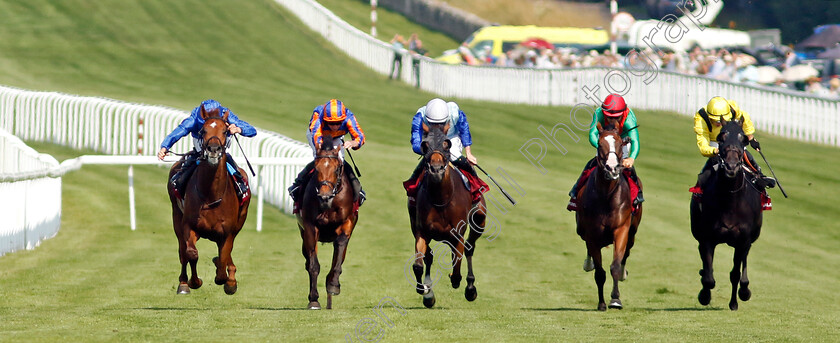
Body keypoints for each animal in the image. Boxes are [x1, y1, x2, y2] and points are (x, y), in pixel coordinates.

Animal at [167, 107, 249, 296]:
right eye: (203, 131)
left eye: (225, 131)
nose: (213, 149)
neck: (211, 194)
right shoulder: (189, 226)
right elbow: (191, 254)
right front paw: (194, 282)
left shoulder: (227, 232)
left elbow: (223, 262)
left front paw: (228, 281)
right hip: (176, 216)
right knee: (182, 251)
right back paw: (183, 283)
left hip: (239, 223)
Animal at [296, 135, 358, 312]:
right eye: (316, 169)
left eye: (337, 169)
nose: (325, 196)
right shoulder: (310, 227)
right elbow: (313, 265)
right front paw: (313, 300)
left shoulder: (347, 223)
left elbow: (340, 249)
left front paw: (333, 284)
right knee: (308, 260)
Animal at [408, 123, 486, 310]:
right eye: (425, 145)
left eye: (446, 144)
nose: (436, 169)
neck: (441, 198)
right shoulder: (421, 231)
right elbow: (418, 265)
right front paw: (424, 290)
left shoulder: (457, 233)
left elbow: (457, 264)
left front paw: (458, 281)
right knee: (429, 257)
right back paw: (429, 295)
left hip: (479, 219)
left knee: (469, 247)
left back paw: (470, 288)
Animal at [576, 123, 640, 312]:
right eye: (599, 144)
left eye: (620, 143)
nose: (612, 168)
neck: (606, 195)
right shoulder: (591, 234)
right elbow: (599, 272)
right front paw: (602, 303)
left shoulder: (621, 229)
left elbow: (615, 266)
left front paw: (615, 299)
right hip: (582, 230)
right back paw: (588, 263)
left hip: (632, 231)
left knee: (627, 251)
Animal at [688, 116, 760, 312]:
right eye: (721, 138)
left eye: (743, 139)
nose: (731, 166)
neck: (730, 202)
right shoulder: (706, 239)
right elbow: (709, 278)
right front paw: (704, 296)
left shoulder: (743, 241)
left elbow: (735, 274)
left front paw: (736, 301)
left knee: (743, 264)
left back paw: (744, 290)